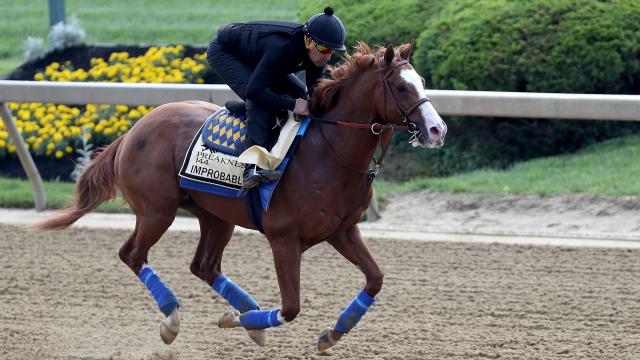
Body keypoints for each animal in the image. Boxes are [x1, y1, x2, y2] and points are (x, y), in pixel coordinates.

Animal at [35, 43, 444, 352]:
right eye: (402, 88)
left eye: (422, 82)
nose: (437, 129)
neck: (328, 153)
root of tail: (134, 129)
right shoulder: (284, 238)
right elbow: (291, 307)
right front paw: (238, 320)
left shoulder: (343, 230)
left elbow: (375, 278)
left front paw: (332, 332)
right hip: (157, 212)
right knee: (132, 254)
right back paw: (174, 319)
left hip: (215, 216)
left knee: (203, 265)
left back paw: (247, 314)